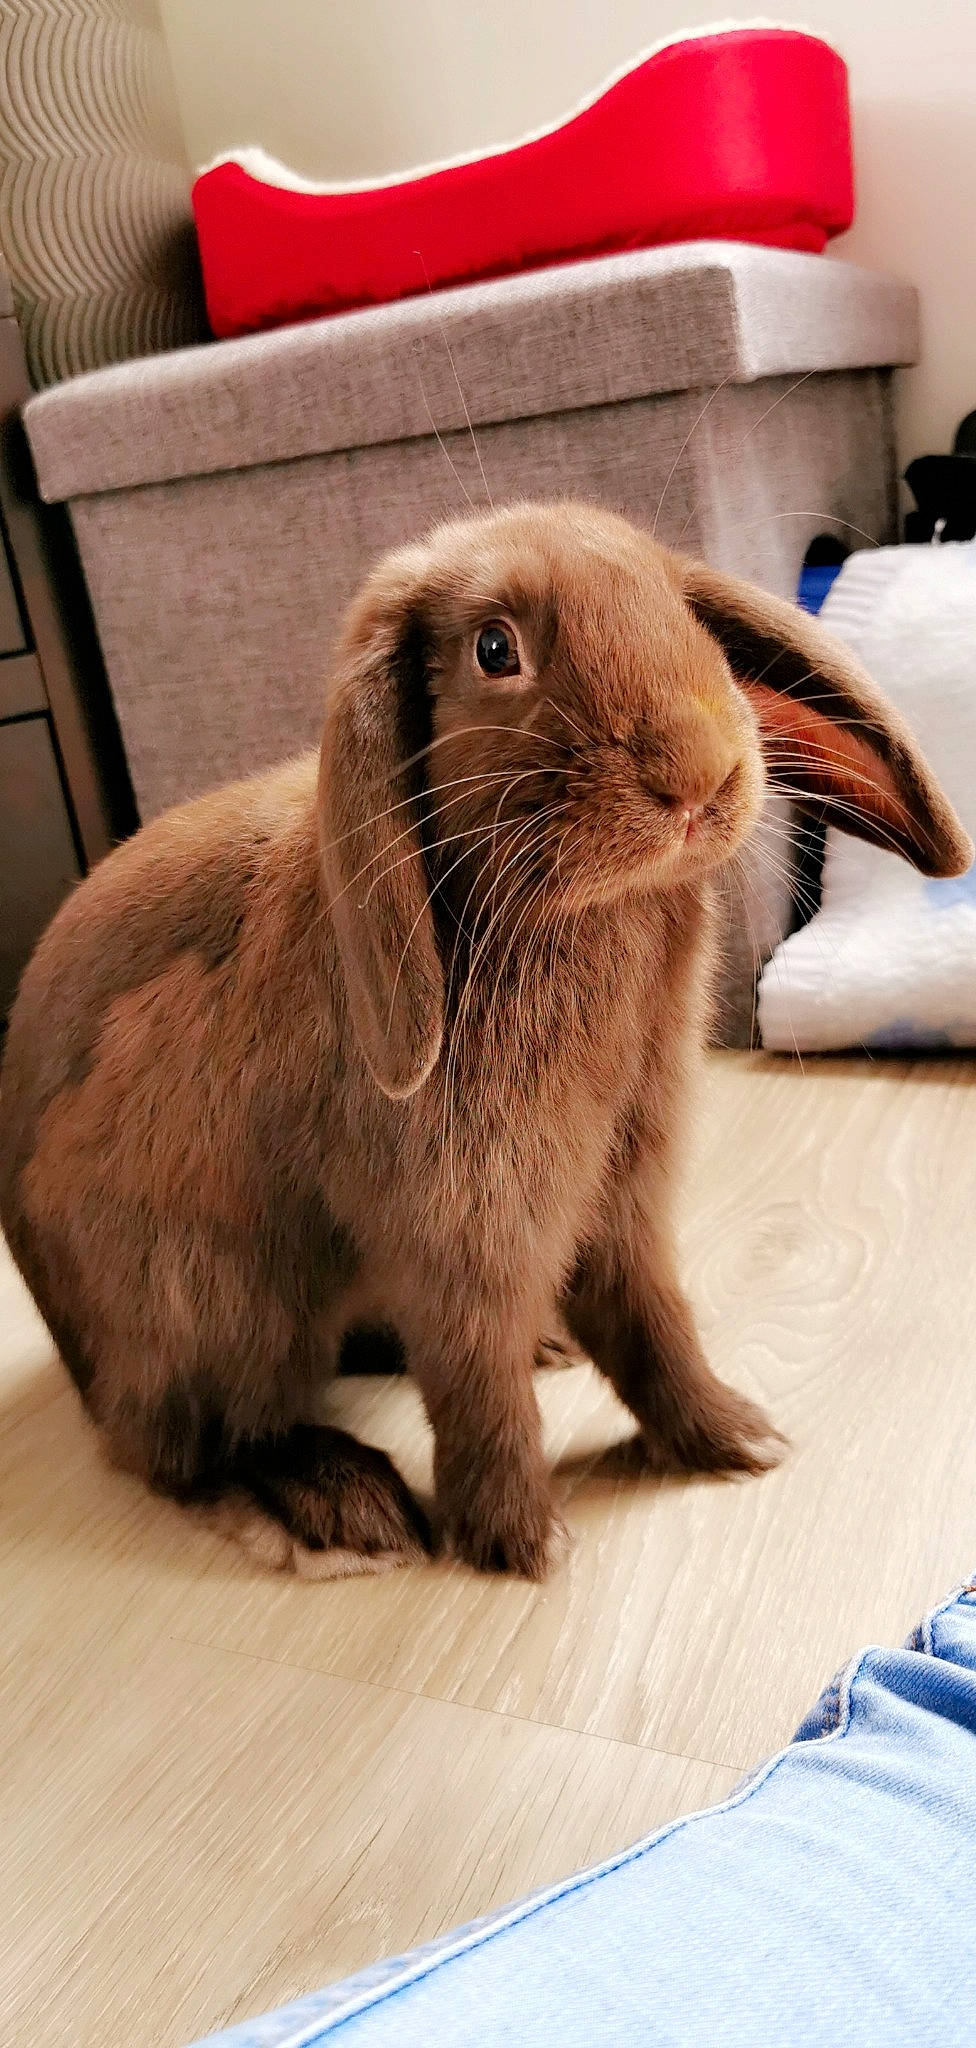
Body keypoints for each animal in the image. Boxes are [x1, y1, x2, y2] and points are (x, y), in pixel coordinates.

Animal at [0, 502, 969, 1581]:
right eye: (494, 650)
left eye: (684, 618)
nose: (697, 774)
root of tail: (73, 1350)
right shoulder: (463, 1221)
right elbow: (476, 1373)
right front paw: (520, 1542)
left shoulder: (621, 1187)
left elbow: (649, 1317)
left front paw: (736, 1438)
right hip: (208, 1296)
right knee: (185, 1445)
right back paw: (340, 1506)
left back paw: (536, 1358)